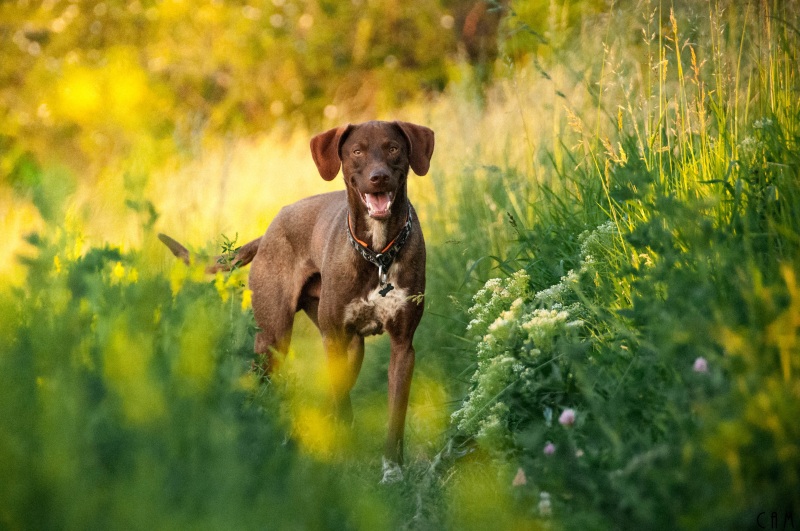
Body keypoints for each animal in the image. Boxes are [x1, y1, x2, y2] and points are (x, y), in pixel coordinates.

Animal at [159, 120, 434, 483]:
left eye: (393, 148)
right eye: (357, 151)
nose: (379, 177)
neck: (377, 254)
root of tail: (270, 228)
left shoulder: (403, 347)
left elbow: (395, 415)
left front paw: (392, 471)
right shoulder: (334, 339)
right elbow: (340, 400)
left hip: (349, 348)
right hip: (274, 338)